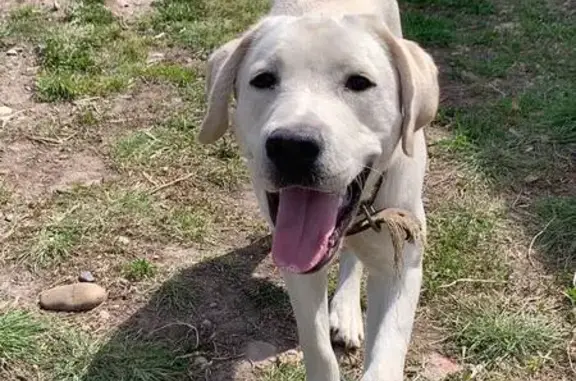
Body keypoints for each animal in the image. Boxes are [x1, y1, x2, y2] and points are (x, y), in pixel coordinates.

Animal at [199, 1, 440, 378]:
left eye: (359, 83)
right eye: (263, 80)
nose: (292, 147)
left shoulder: (402, 264)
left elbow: (384, 360)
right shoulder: (297, 266)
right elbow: (317, 347)